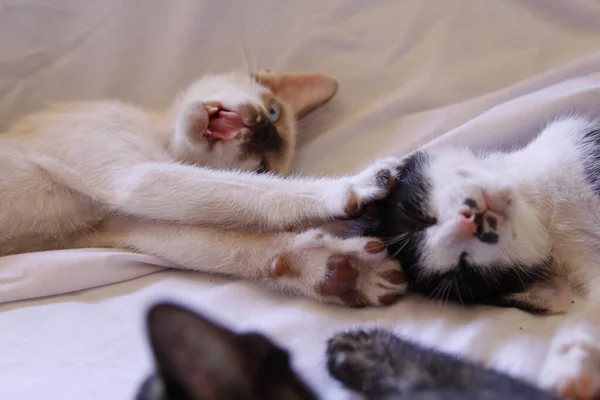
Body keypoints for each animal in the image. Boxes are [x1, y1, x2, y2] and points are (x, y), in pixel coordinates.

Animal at [0, 69, 406, 306]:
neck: (164, 138)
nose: (264, 130)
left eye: (262, 166)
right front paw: (354, 185)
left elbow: (228, 246)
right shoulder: (135, 175)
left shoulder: (118, 224)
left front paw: (340, 271)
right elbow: (262, 193)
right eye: (274, 111)